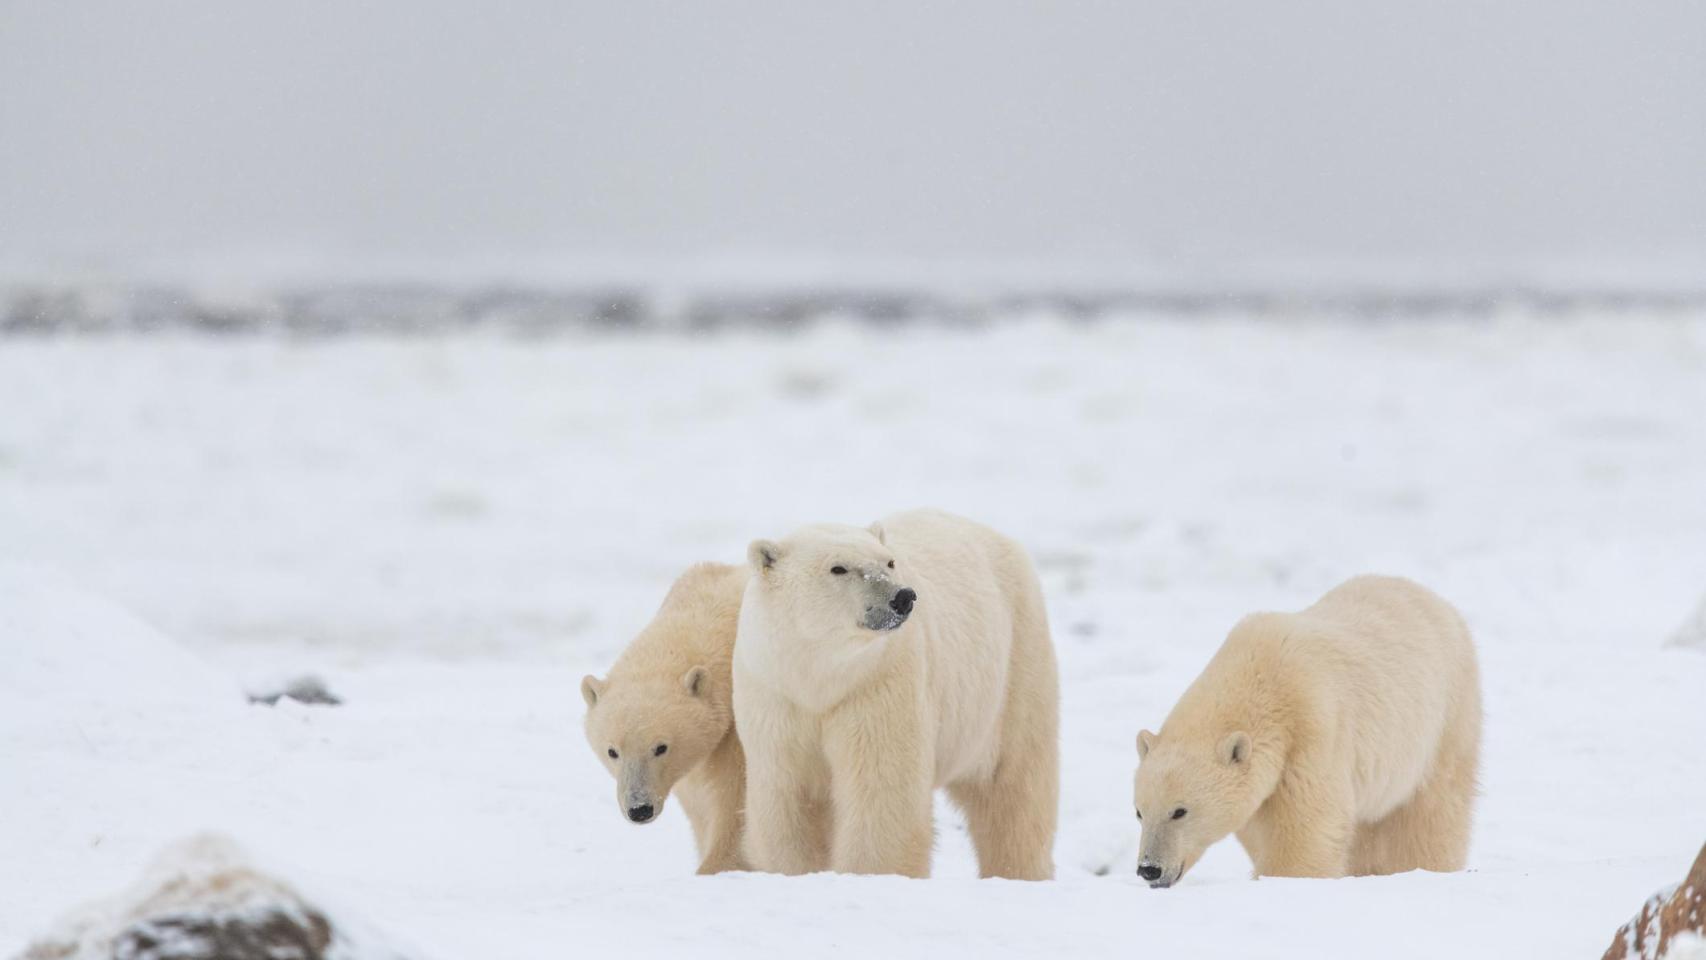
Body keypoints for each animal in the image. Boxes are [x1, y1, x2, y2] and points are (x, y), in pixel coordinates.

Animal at [581, 562, 751, 875]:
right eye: (612, 751)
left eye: (661, 747)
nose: (639, 809)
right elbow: (701, 808)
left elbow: (737, 803)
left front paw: (715, 867)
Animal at [733, 508, 1060, 880]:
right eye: (838, 568)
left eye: (889, 562)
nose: (903, 597)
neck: (820, 678)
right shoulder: (775, 694)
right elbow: (787, 793)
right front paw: (797, 871)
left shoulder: (878, 683)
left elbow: (880, 789)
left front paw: (871, 874)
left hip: (1014, 668)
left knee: (1013, 787)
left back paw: (1017, 871)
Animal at [1132, 574, 1482, 887]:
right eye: (1139, 812)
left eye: (1180, 811)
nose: (1149, 869)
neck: (1260, 677)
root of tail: (1435, 599)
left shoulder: (1312, 731)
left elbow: (1306, 825)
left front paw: (1287, 880)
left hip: (1445, 717)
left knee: (1431, 810)